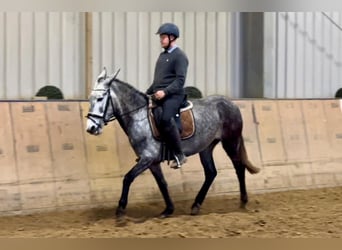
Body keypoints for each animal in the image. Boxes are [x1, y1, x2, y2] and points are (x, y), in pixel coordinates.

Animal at [85, 69, 260, 219]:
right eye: (91, 99)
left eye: (100, 99)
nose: (91, 128)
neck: (138, 116)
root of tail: (231, 104)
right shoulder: (152, 162)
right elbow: (162, 183)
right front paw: (168, 210)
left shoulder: (147, 158)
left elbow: (128, 178)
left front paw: (120, 210)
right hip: (206, 148)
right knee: (211, 173)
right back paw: (196, 206)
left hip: (231, 142)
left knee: (239, 167)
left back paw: (243, 202)